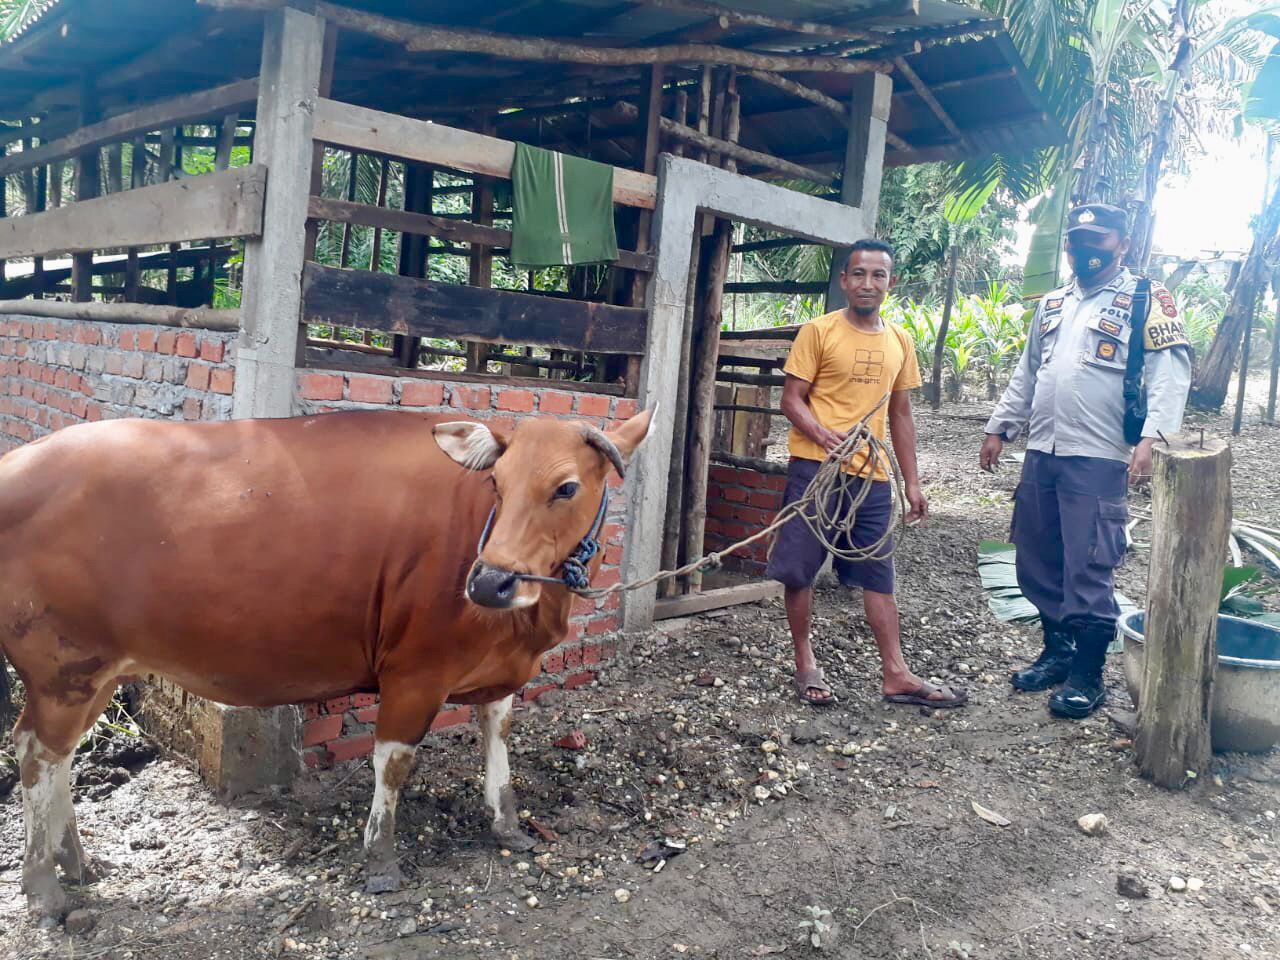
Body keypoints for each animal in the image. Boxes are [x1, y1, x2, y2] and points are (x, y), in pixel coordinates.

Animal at [0, 407, 655, 926]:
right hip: (63, 667)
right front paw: (381, 860)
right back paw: (44, 888)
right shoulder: (415, 673)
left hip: (94, 673)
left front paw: (507, 824)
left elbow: (497, 738)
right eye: (496, 481)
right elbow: (393, 763)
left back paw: (76, 861)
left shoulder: (500, 671)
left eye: (566, 488)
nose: (490, 581)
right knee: (34, 753)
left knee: (58, 757)